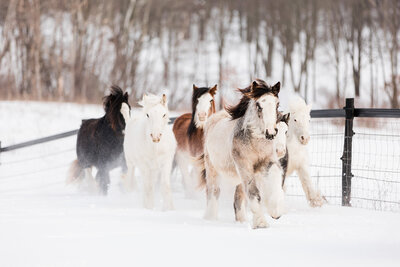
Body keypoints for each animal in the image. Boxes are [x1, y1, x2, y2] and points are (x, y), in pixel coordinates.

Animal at [198, 80, 286, 229]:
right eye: (259, 105)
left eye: (277, 104)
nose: (271, 133)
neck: (256, 143)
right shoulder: (244, 166)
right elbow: (254, 193)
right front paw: (261, 223)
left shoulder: (268, 161)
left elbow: (274, 175)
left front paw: (276, 211)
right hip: (212, 169)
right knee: (213, 191)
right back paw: (210, 218)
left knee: (238, 197)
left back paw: (242, 220)